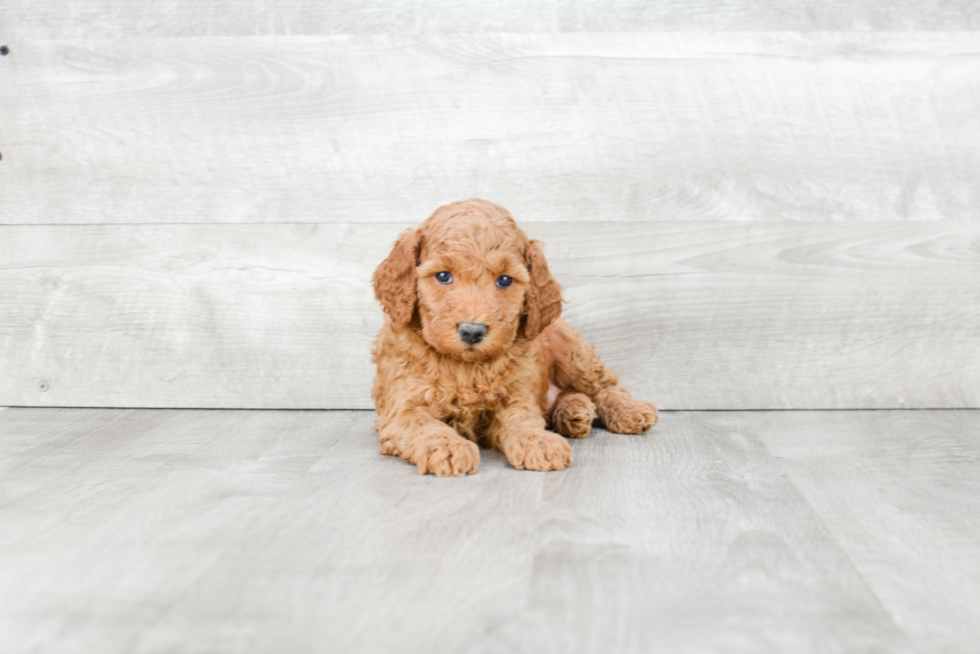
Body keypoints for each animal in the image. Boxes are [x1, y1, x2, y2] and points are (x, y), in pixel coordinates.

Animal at [374, 197, 660, 480]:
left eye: (504, 280)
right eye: (443, 276)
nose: (472, 331)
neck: (467, 368)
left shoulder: (516, 395)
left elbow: (521, 418)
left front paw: (537, 441)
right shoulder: (402, 407)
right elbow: (423, 425)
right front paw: (447, 447)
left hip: (575, 356)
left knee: (604, 386)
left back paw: (628, 411)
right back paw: (574, 413)